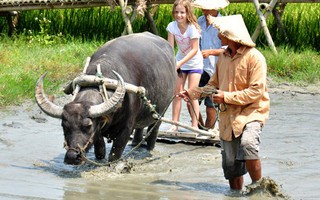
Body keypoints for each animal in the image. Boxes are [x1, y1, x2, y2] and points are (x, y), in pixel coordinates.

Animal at [36, 32, 176, 165]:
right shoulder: (98, 130)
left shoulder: (126, 129)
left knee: (153, 132)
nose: (72, 157)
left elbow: (115, 154)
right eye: (63, 125)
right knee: (140, 128)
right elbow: (100, 150)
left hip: (161, 113)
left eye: (88, 126)